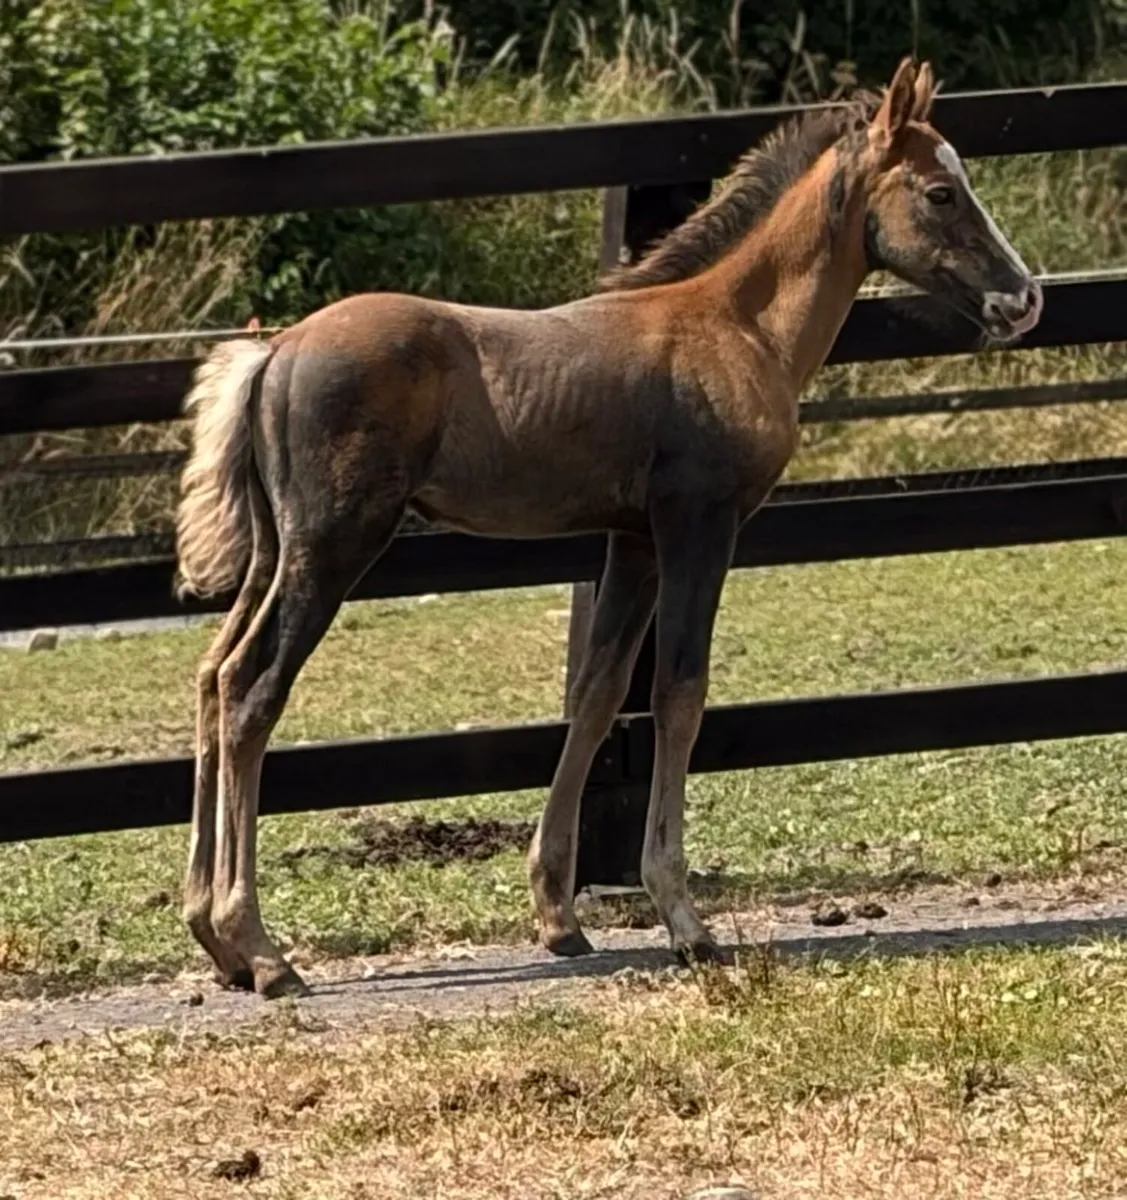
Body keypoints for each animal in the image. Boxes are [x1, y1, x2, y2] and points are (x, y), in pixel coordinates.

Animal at [174, 57, 1043, 998]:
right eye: (939, 193)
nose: (1022, 298)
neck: (739, 325)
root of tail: (275, 352)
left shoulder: (631, 540)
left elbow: (595, 698)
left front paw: (557, 915)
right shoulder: (698, 524)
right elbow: (677, 695)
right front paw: (686, 922)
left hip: (277, 550)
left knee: (213, 676)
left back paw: (213, 937)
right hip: (333, 546)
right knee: (253, 690)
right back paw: (261, 950)